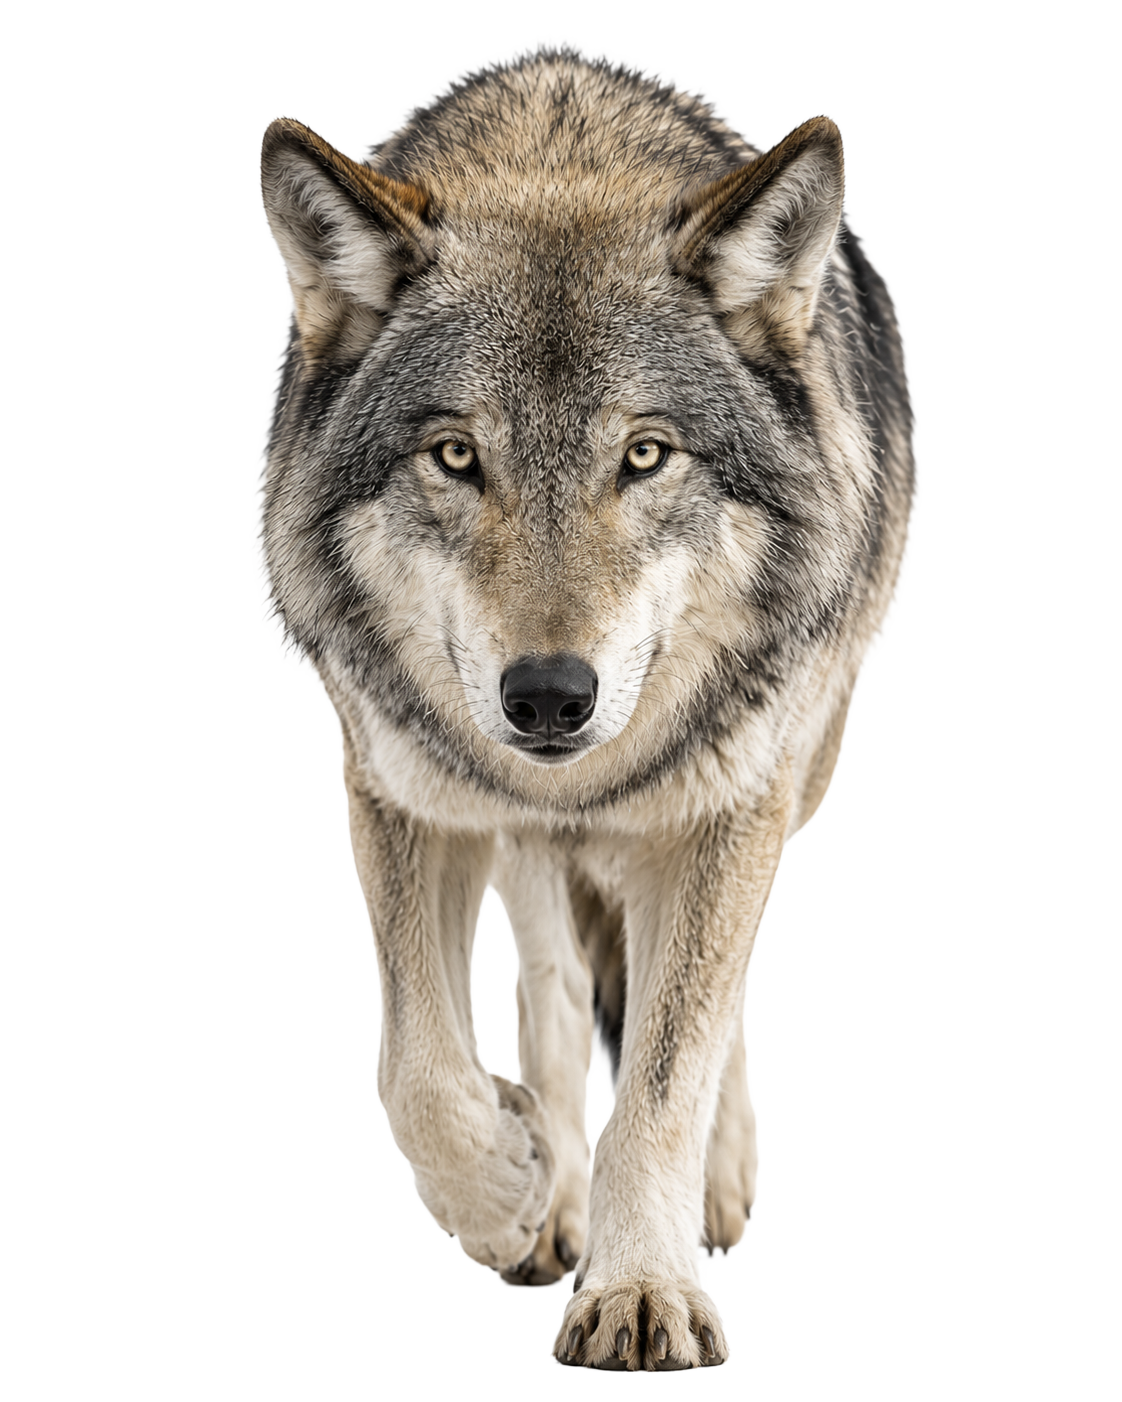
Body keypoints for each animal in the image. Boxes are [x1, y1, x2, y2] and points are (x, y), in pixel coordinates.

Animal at [260, 47, 913, 1371]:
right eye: (457, 456)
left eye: (646, 455)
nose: (552, 695)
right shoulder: (402, 789)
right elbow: (416, 1064)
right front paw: (507, 1186)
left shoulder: (733, 801)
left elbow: (667, 1071)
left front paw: (643, 1287)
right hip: (516, 835)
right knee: (549, 983)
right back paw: (551, 1194)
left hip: (799, 772)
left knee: (710, 996)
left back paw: (714, 1178)